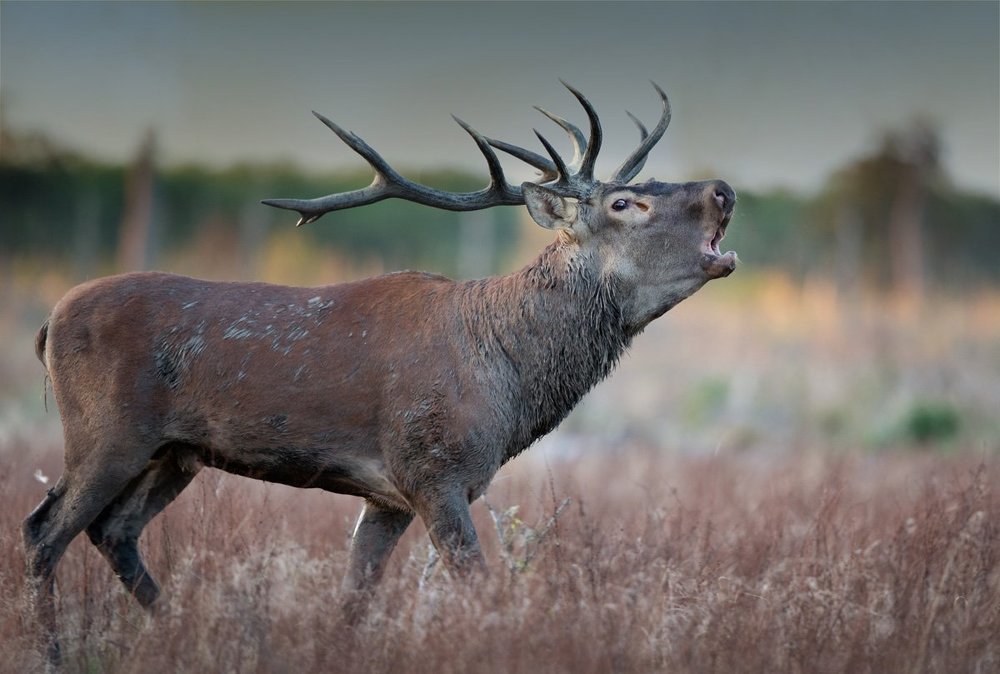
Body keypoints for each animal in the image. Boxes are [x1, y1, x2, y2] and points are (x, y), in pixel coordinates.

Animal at [23, 82, 737, 662]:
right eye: (624, 203)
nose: (722, 190)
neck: (510, 385)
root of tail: (48, 324)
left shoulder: (387, 495)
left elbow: (353, 601)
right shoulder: (434, 472)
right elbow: (479, 589)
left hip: (174, 452)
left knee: (113, 531)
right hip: (107, 433)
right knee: (43, 532)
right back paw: (54, 653)